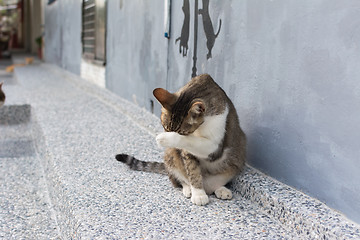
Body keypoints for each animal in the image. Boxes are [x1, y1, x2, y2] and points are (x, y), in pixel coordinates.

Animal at [116, 74, 246, 205]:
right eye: (165, 127)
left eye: (183, 133)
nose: (174, 147)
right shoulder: (187, 153)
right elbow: (192, 171)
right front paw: (198, 194)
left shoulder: (216, 146)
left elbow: (193, 142)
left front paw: (165, 138)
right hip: (170, 156)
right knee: (179, 179)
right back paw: (188, 188)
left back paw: (221, 189)